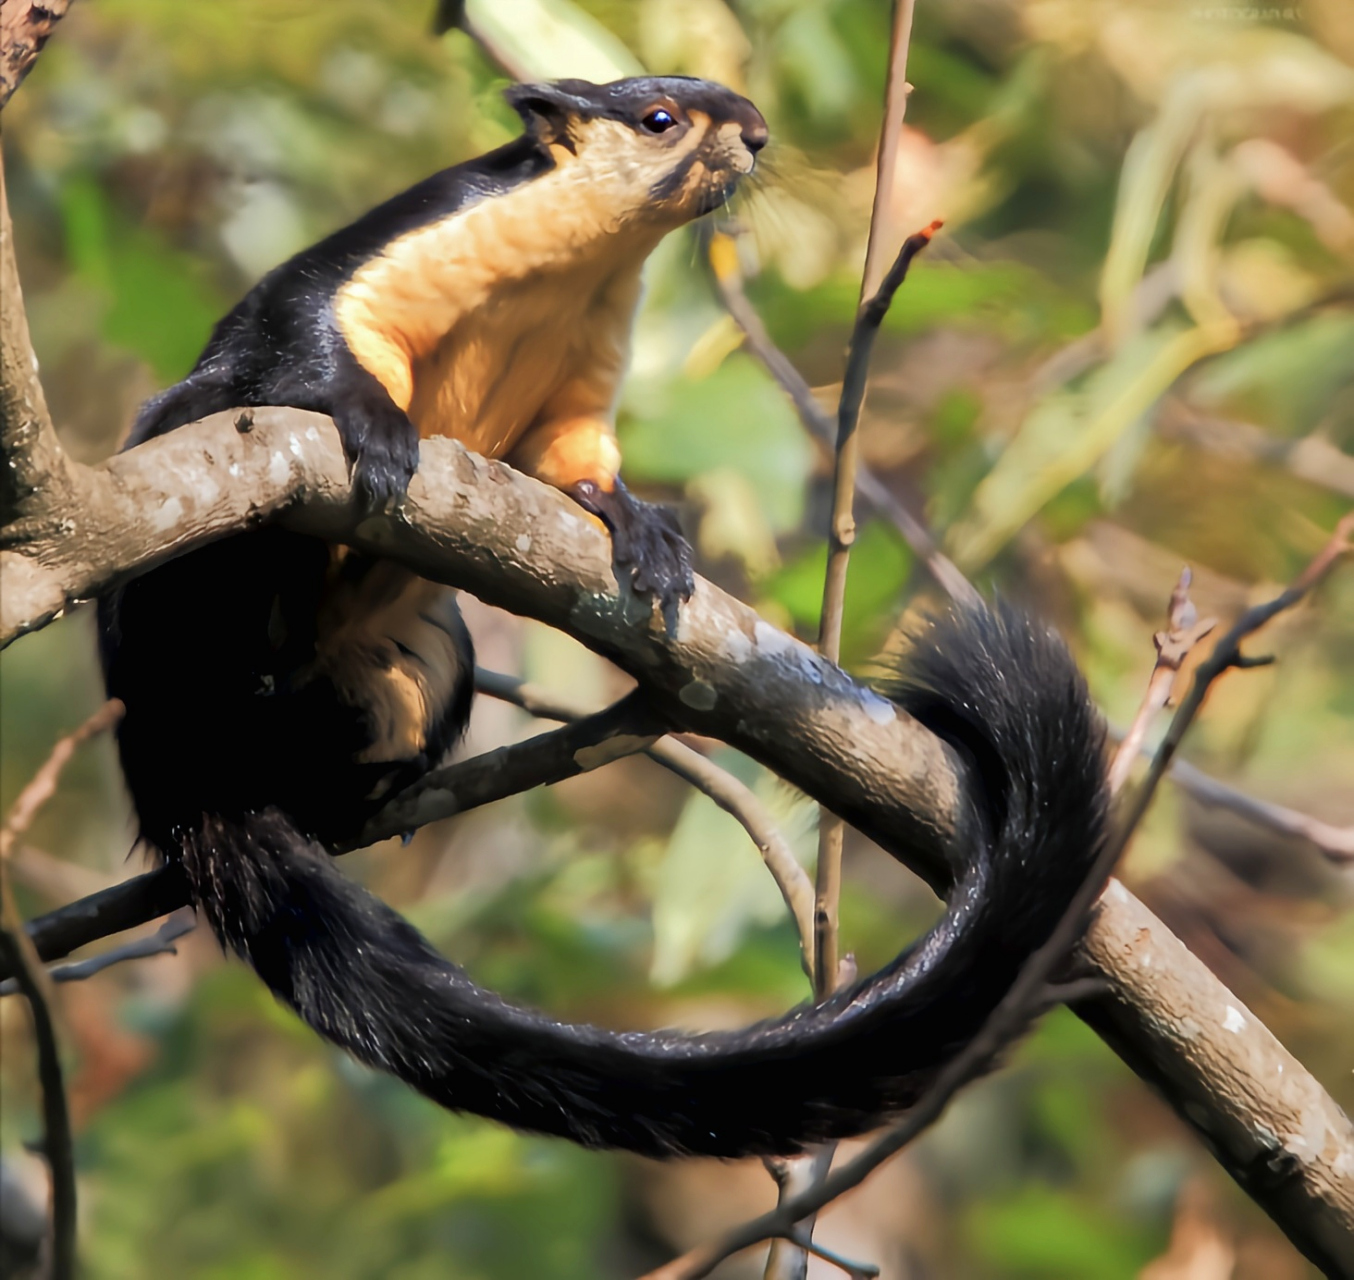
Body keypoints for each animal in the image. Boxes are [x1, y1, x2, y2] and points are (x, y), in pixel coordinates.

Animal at [100, 77, 1104, 1159]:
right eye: (660, 118)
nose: (757, 134)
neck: (574, 272)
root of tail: (183, 773)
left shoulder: (586, 371)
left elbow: (579, 464)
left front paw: (645, 530)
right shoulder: (391, 249)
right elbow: (309, 337)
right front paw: (375, 426)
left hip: (424, 663)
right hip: (183, 579)